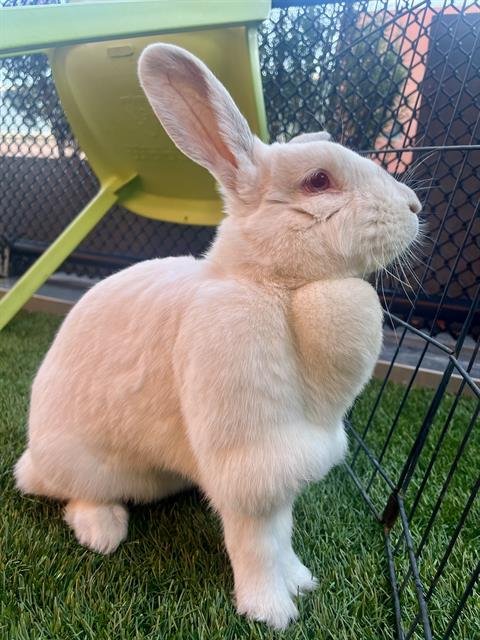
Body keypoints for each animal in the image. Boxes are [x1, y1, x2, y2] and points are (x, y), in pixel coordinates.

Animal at [14, 43, 421, 629]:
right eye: (318, 181)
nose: (415, 207)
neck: (275, 287)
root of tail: (33, 460)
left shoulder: (288, 460)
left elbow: (283, 535)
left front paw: (301, 579)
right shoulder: (253, 459)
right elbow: (258, 542)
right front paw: (271, 610)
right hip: (83, 463)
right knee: (76, 496)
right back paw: (104, 532)